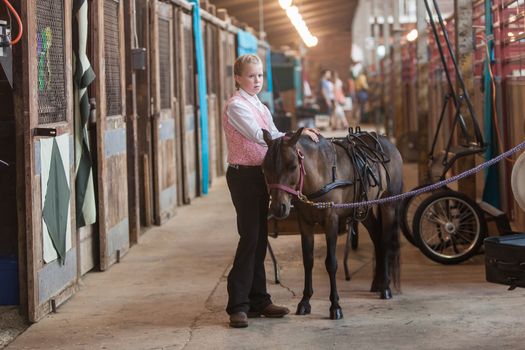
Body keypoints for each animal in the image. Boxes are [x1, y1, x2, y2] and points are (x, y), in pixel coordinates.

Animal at [260, 129, 402, 320]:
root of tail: (388, 143)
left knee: (385, 242)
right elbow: (308, 261)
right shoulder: (305, 223)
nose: (277, 207)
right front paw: (304, 302)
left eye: (293, 166)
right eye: (265, 168)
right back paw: (377, 283)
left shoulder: (331, 221)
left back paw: (385, 287)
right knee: (377, 239)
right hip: (363, 211)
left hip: (389, 205)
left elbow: (331, 263)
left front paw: (335, 306)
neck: (320, 173)